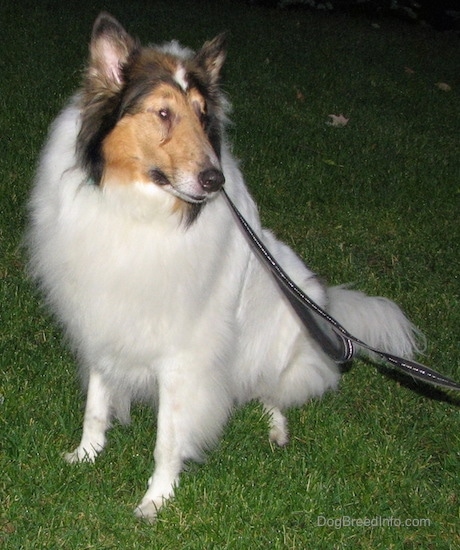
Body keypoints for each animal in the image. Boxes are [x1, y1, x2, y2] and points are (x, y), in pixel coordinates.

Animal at [26, 12, 420, 520]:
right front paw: (87, 455)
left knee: (269, 393)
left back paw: (276, 431)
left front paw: (156, 500)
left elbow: (168, 437)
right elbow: (96, 403)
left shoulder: (183, 350)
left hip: (277, 343)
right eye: (163, 113)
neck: (140, 210)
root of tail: (330, 309)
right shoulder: (103, 318)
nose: (215, 180)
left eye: (202, 114)